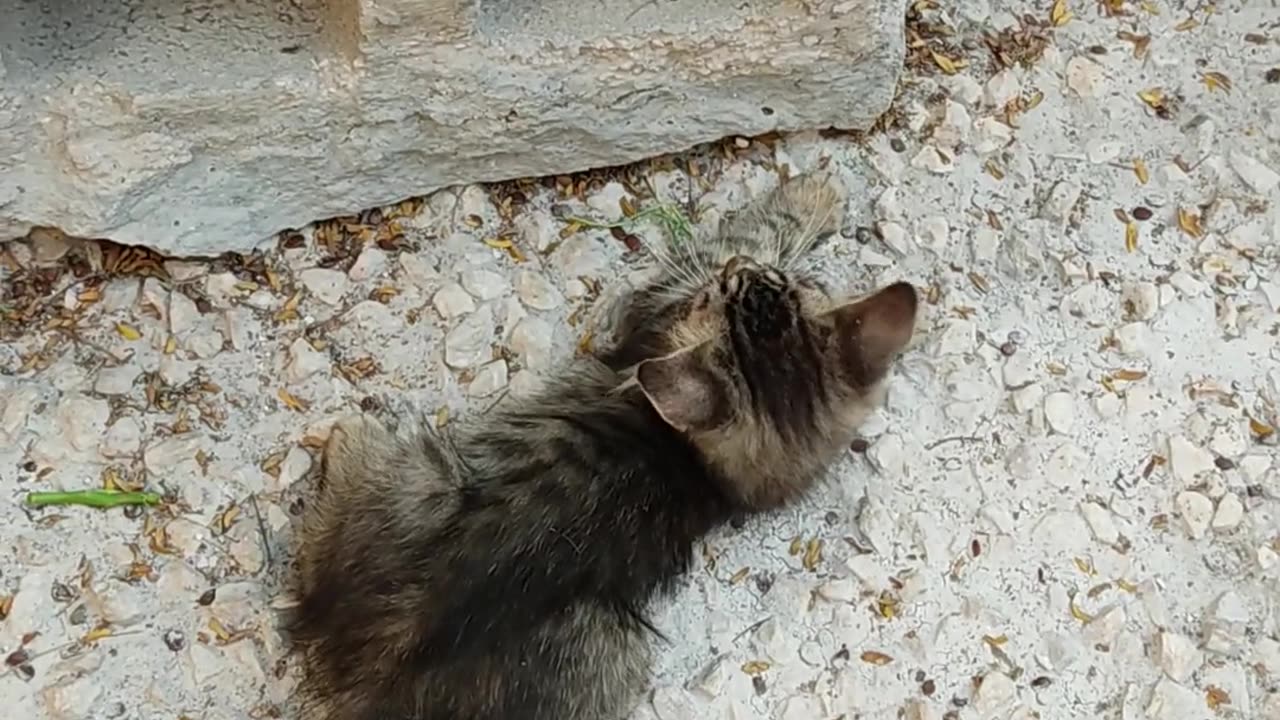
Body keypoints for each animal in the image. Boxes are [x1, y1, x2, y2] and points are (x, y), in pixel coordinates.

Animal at [288, 174, 921, 717]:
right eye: (780, 286)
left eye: (726, 291)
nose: (742, 273)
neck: (699, 467)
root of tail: (370, 670)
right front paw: (815, 197)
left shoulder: (660, 303)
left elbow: (747, 231)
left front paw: (808, 194)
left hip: (431, 485)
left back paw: (346, 433)